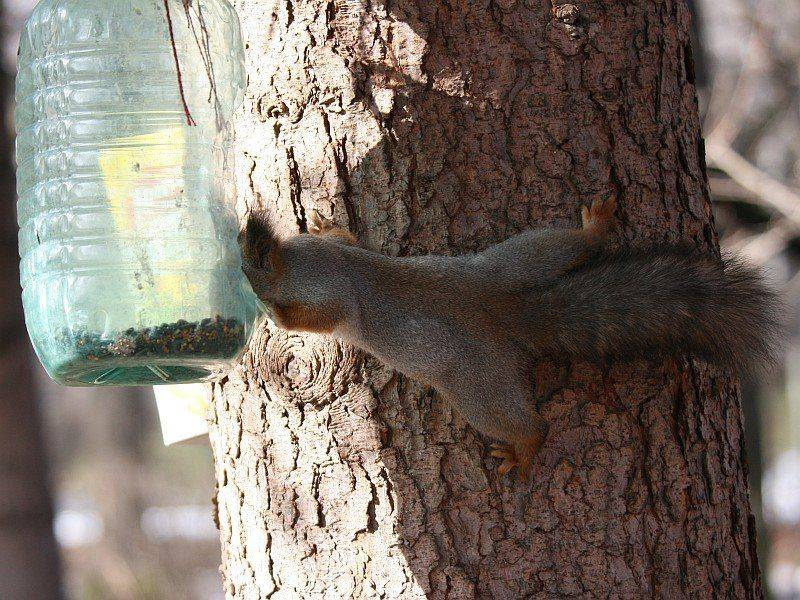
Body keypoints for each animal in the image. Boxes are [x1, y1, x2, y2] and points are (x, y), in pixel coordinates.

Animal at [241, 197, 782, 480]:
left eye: (248, 269)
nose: (251, 294)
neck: (296, 262)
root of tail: (509, 313)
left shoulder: (324, 295)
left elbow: (316, 318)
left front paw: (278, 320)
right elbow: (343, 238)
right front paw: (329, 219)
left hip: (479, 389)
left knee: (528, 425)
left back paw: (523, 449)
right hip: (517, 261)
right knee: (566, 246)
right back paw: (596, 226)